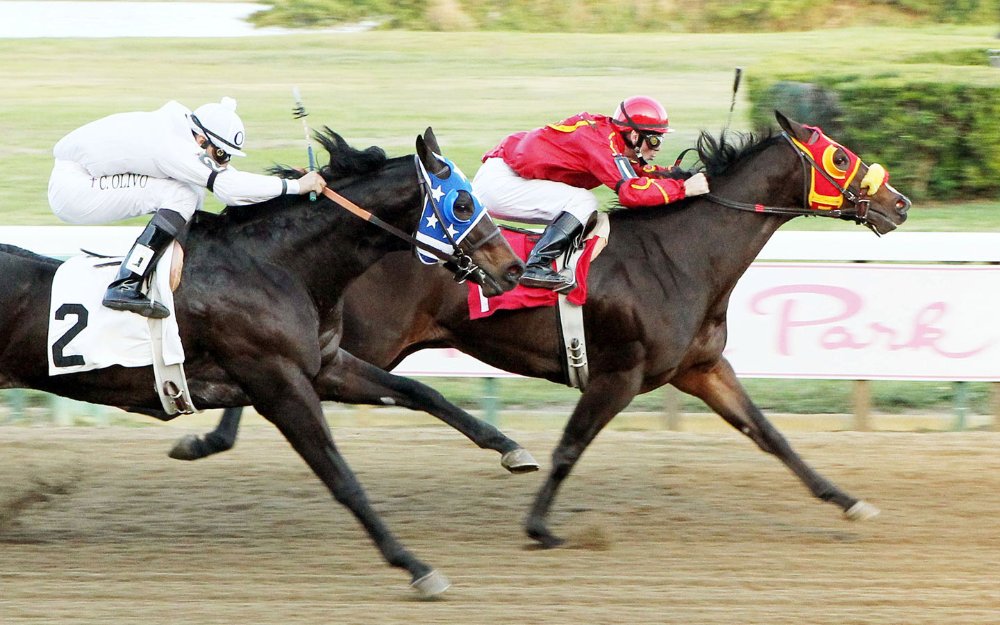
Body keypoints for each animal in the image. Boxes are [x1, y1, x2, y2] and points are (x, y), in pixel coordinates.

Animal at [0, 128, 532, 596]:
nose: (514, 268)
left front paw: (510, 448)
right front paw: (415, 567)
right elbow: (342, 479)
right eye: (462, 204)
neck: (274, 265)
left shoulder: (325, 365)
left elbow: (421, 391)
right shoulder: (279, 385)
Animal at [174, 112, 916, 544]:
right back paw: (206, 437)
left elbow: (771, 435)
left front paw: (848, 501)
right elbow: (570, 446)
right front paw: (539, 526)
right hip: (365, 339)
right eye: (841, 157)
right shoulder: (620, 373)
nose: (901, 203)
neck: (686, 254)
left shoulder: (701, 369)